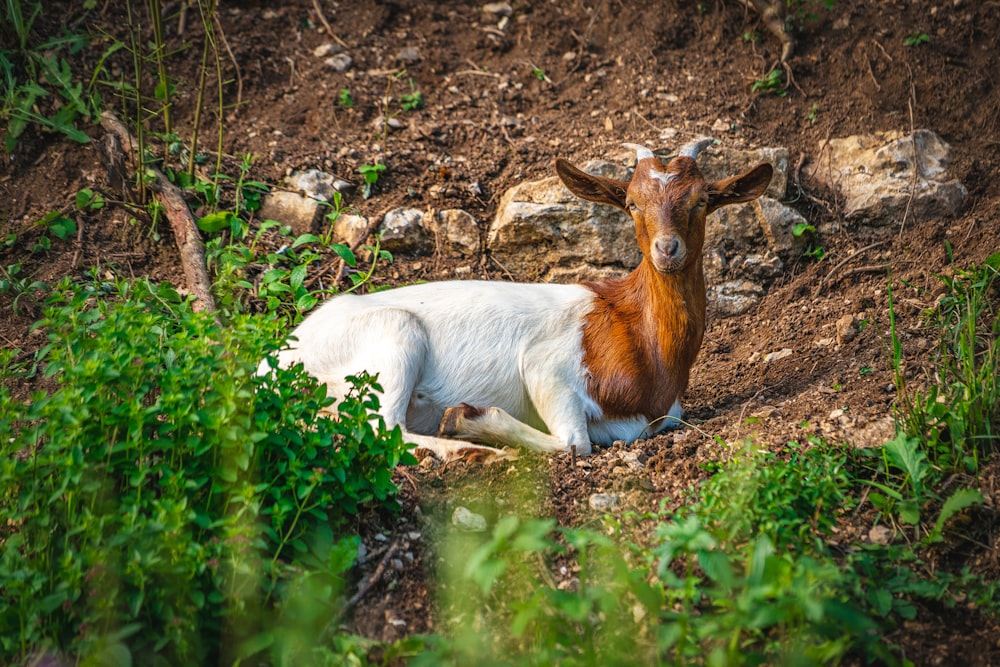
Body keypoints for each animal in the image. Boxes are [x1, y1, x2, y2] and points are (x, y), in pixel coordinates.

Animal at [272, 141, 772, 460]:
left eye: (703, 200)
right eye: (631, 202)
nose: (668, 250)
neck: (647, 342)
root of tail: (273, 362)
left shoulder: (658, 417)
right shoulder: (547, 366)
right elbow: (575, 443)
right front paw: (470, 419)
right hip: (393, 337)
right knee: (385, 427)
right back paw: (472, 452)